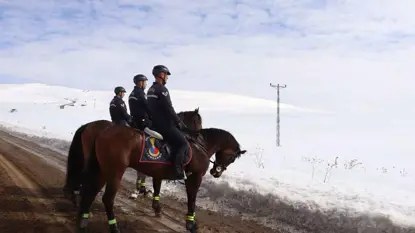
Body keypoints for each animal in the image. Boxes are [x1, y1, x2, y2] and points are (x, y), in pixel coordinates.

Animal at [63, 108, 203, 205]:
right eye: (198, 121)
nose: (198, 136)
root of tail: (88, 125)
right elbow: (142, 176)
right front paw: (140, 191)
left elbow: (142, 176)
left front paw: (142, 191)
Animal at [76, 124, 245, 232]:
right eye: (232, 158)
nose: (216, 172)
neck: (199, 145)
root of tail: (102, 132)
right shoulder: (195, 177)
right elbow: (192, 200)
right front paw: (191, 224)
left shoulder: (159, 173)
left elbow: (158, 188)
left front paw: (157, 208)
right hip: (115, 172)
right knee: (108, 199)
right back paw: (113, 226)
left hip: (103, 170)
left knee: (91, 192)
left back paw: (83, 220)